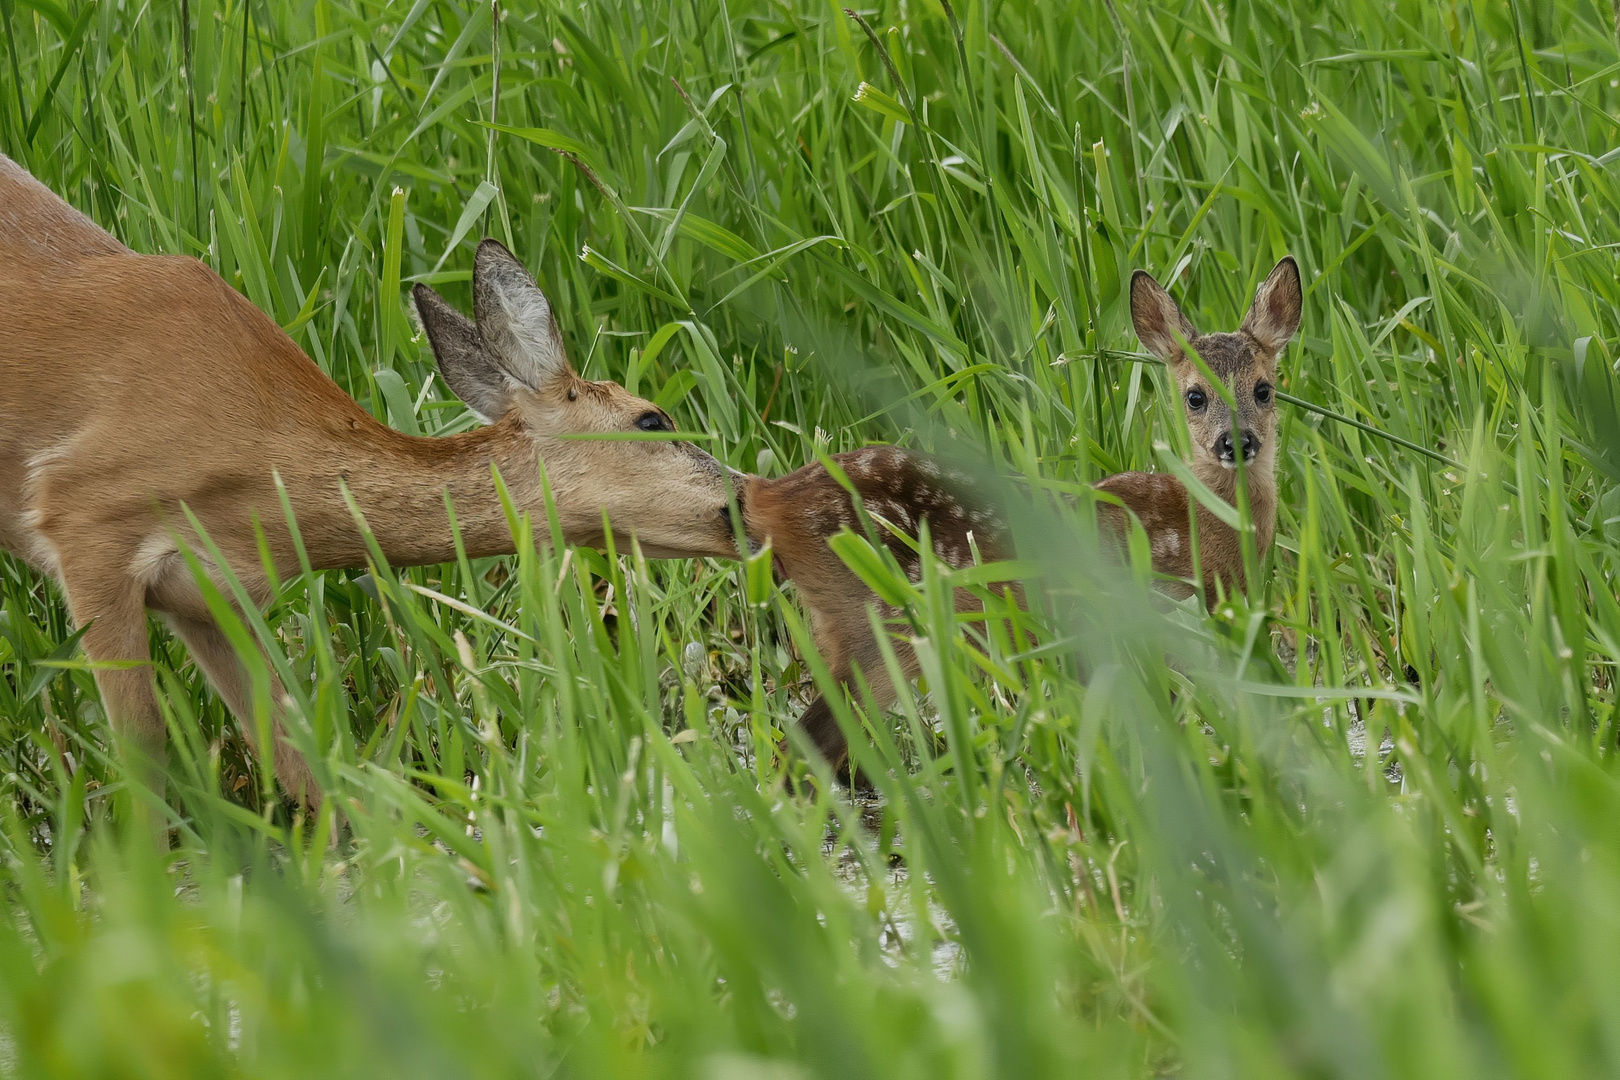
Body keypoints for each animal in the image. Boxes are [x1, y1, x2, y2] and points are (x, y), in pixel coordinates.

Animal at [0, 153, 741, 809]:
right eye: (653, 418)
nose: (744, 501)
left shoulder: (211, 596)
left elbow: (301, 755)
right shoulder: (84, 520)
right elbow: (142, 760)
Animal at [741, 257, 1296, 773]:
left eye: (1264, 389)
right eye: (1195, 397)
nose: (1237, 442)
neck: (1196, 527)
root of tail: (770, 495)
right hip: (873, 627)